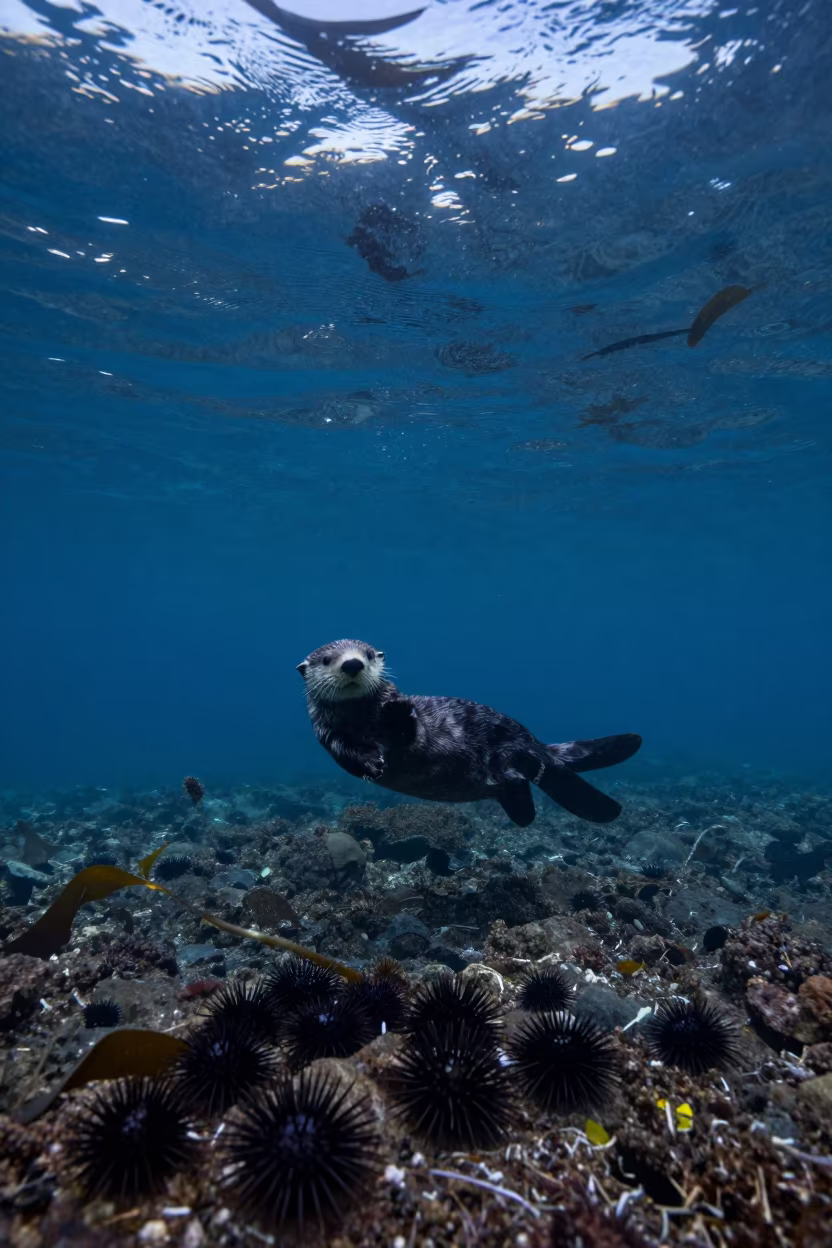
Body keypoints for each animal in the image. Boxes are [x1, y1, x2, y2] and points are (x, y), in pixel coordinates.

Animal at [297, 639, 641, 826]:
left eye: (368, 654)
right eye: (327, 659)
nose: (353, 664)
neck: (365, 720)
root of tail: (537, 745)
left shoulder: (415, 727)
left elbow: (411, 731)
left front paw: (396, 709)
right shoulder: (327, 732)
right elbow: (346, 753)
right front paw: (371, 763)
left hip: (510, 748)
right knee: (525, 792)